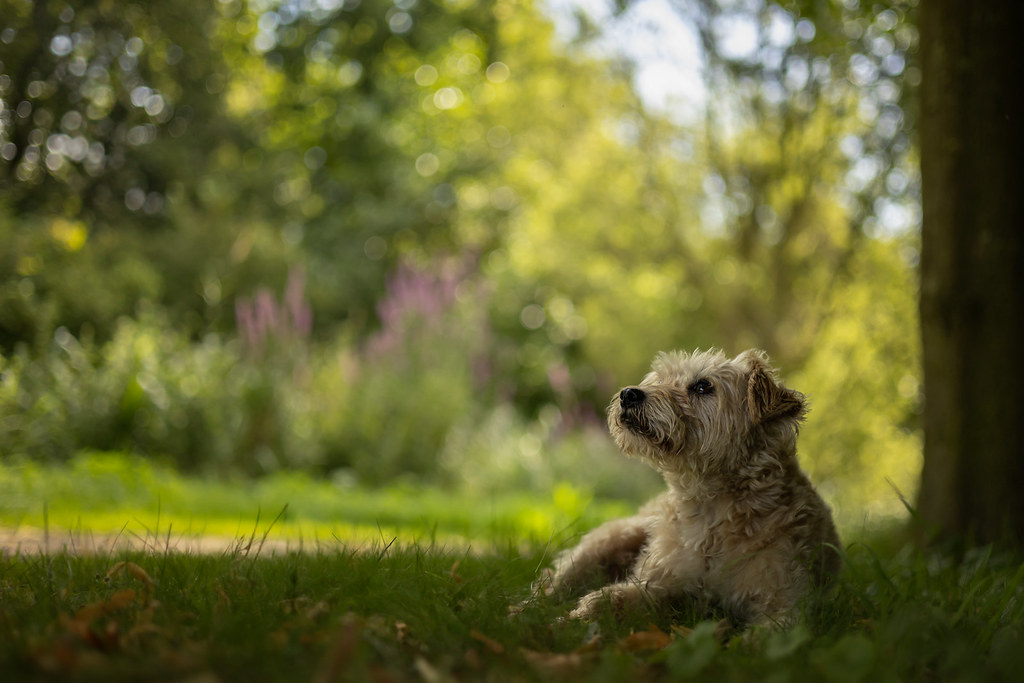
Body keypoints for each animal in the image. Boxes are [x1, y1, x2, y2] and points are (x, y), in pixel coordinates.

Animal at [540, 350, 843, 626]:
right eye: (661, 379)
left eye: (702, 386)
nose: (628, 394)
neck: (709, 510)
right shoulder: (656, 582)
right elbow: (614, 598)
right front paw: (574, 617)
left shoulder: (786, 601)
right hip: (608, 540)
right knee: (552, 585)